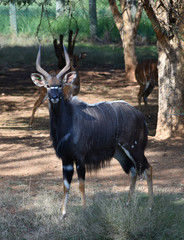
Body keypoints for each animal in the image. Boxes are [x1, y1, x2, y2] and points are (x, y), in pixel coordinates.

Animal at [30, 45, 153, 219]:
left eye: (60, 85)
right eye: (47, 86)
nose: (53, 96)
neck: (66, 125)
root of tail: (141, 117)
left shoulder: (80, 158)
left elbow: (81, 184)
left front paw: (84, 211)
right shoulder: (66, 159)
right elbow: (65, 185)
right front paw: (63, 214)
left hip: (135, 148)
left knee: (148, 168)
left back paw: (150, 207)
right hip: (120, 153)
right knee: (134, 171)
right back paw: (128, 204)